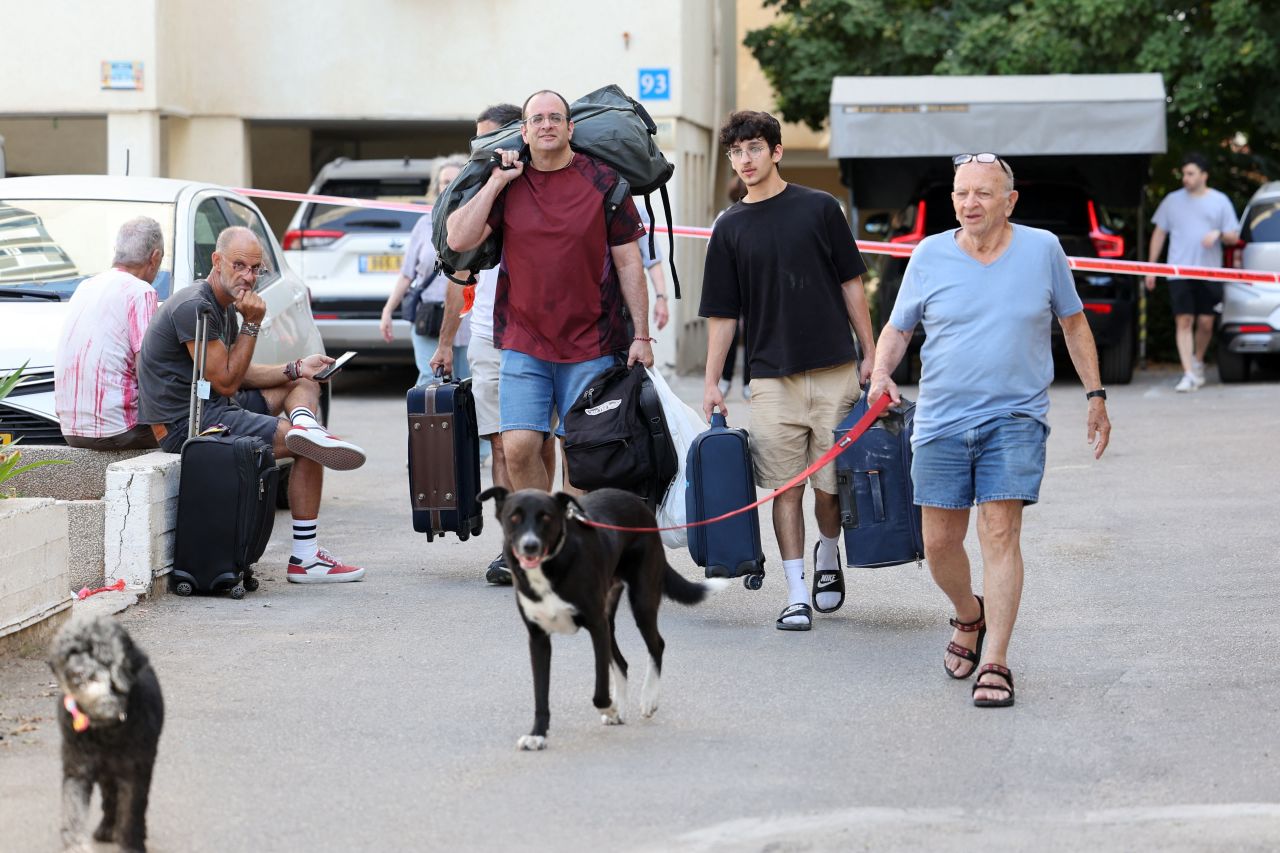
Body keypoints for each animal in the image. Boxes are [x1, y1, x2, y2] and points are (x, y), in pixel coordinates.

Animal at [47, 614, 163, 845]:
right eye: (70, 653)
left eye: (100, 655)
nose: (76, 674)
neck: (103, 729)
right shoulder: (78, 768)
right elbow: (74, 810)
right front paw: (76, 843)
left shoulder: (134, 772)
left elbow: (131, 812)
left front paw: (131, 842)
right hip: (106, 773)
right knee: (110, 799)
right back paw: (106, 828)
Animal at [478, 489, 721, 747]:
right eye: (514, 517)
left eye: (546, 517)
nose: (530, 546)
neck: (550, 567)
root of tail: (637, 501)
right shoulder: (538, 638)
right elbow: (541, 694)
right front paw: (537, 735)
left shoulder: (596, 626)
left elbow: (600, 691)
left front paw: (610, 708)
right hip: (610, 619)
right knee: (622, 662)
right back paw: (623, 709)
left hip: (641, 600)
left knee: (657, 644)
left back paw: (648, 699)